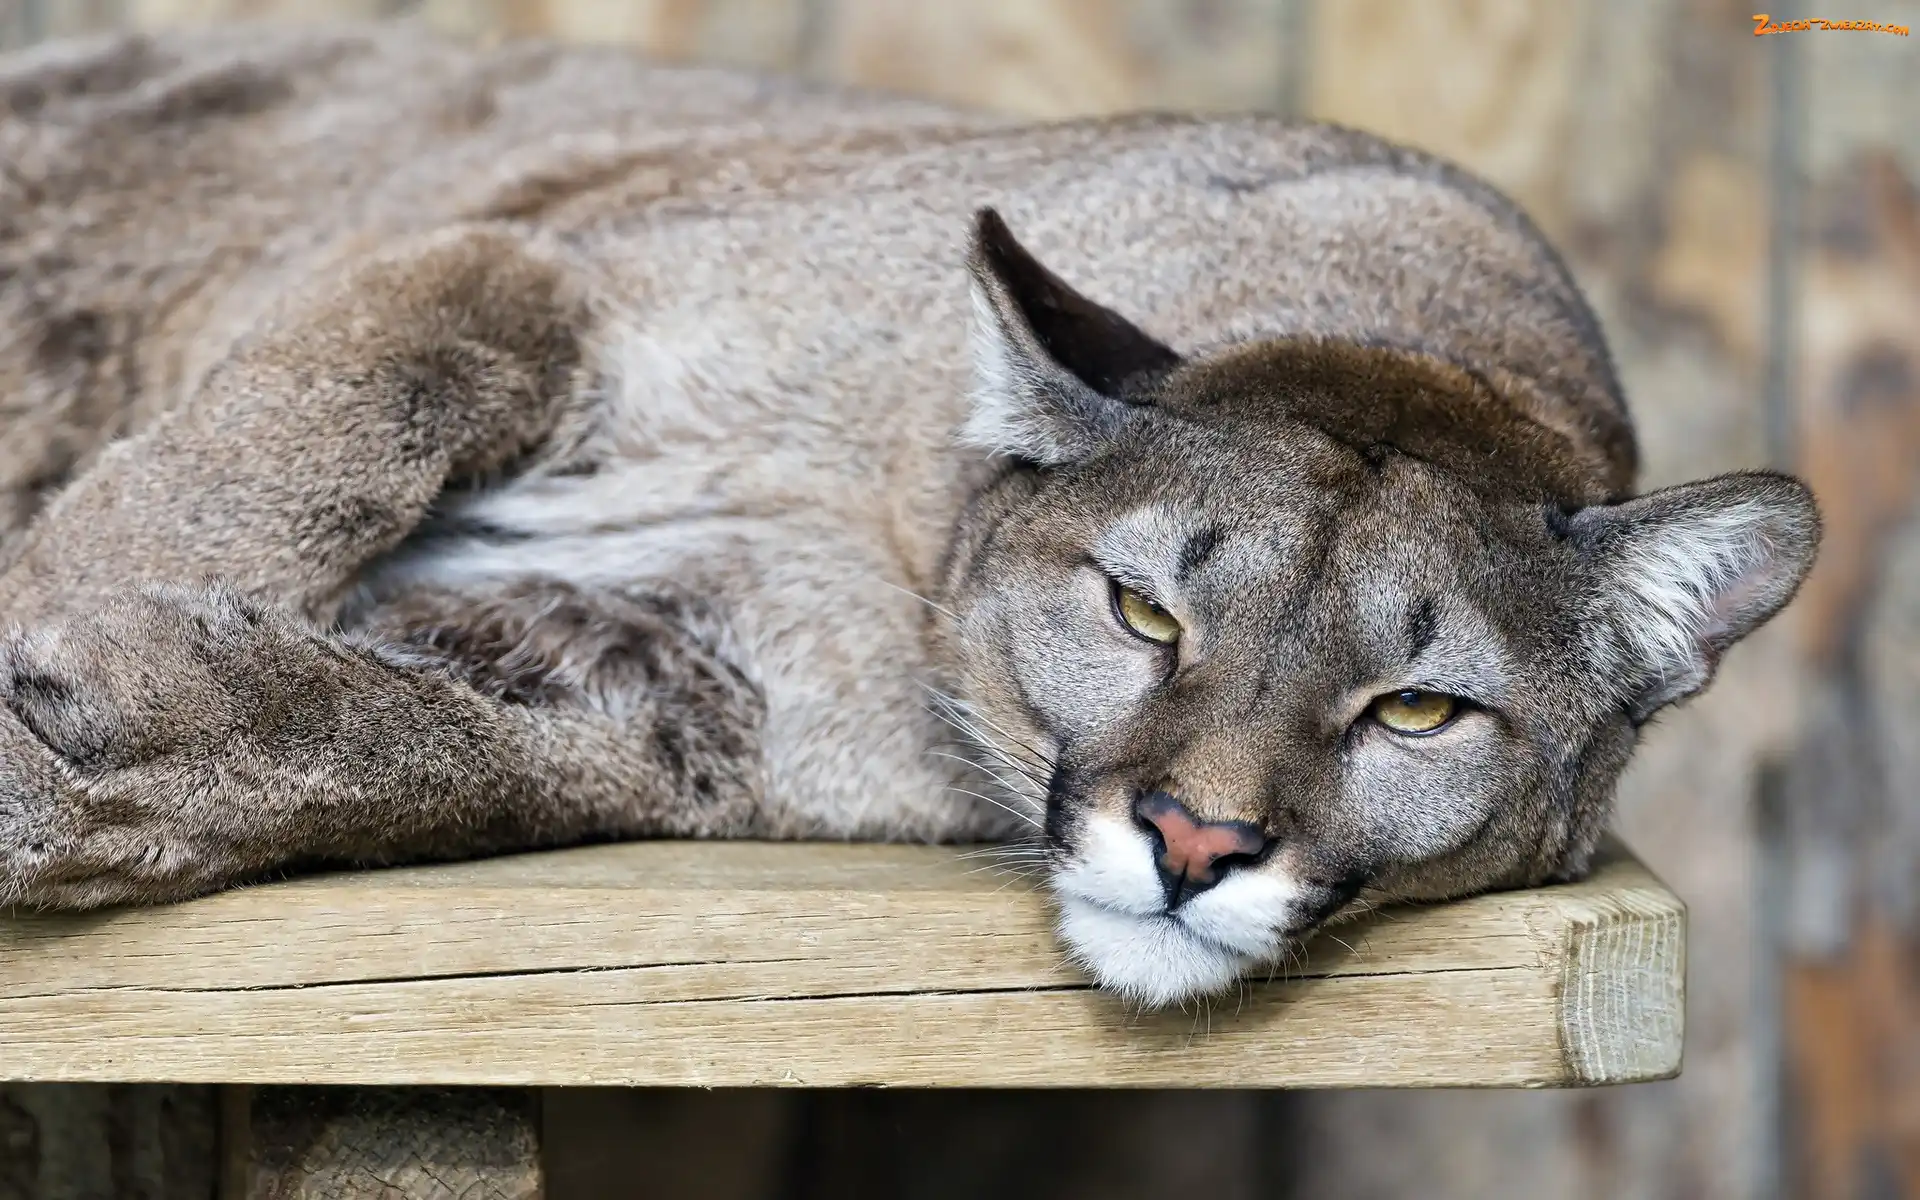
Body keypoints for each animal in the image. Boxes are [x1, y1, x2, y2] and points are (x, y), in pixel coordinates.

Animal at [0, 25, 1818, 1005]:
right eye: (1144, 610)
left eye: (1421, 710)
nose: (1197, 843)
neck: (904, 539)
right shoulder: (516, 262)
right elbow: (320, 441)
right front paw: (76, 618)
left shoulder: (646, 685)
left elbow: (404, 751)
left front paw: (85, 747)